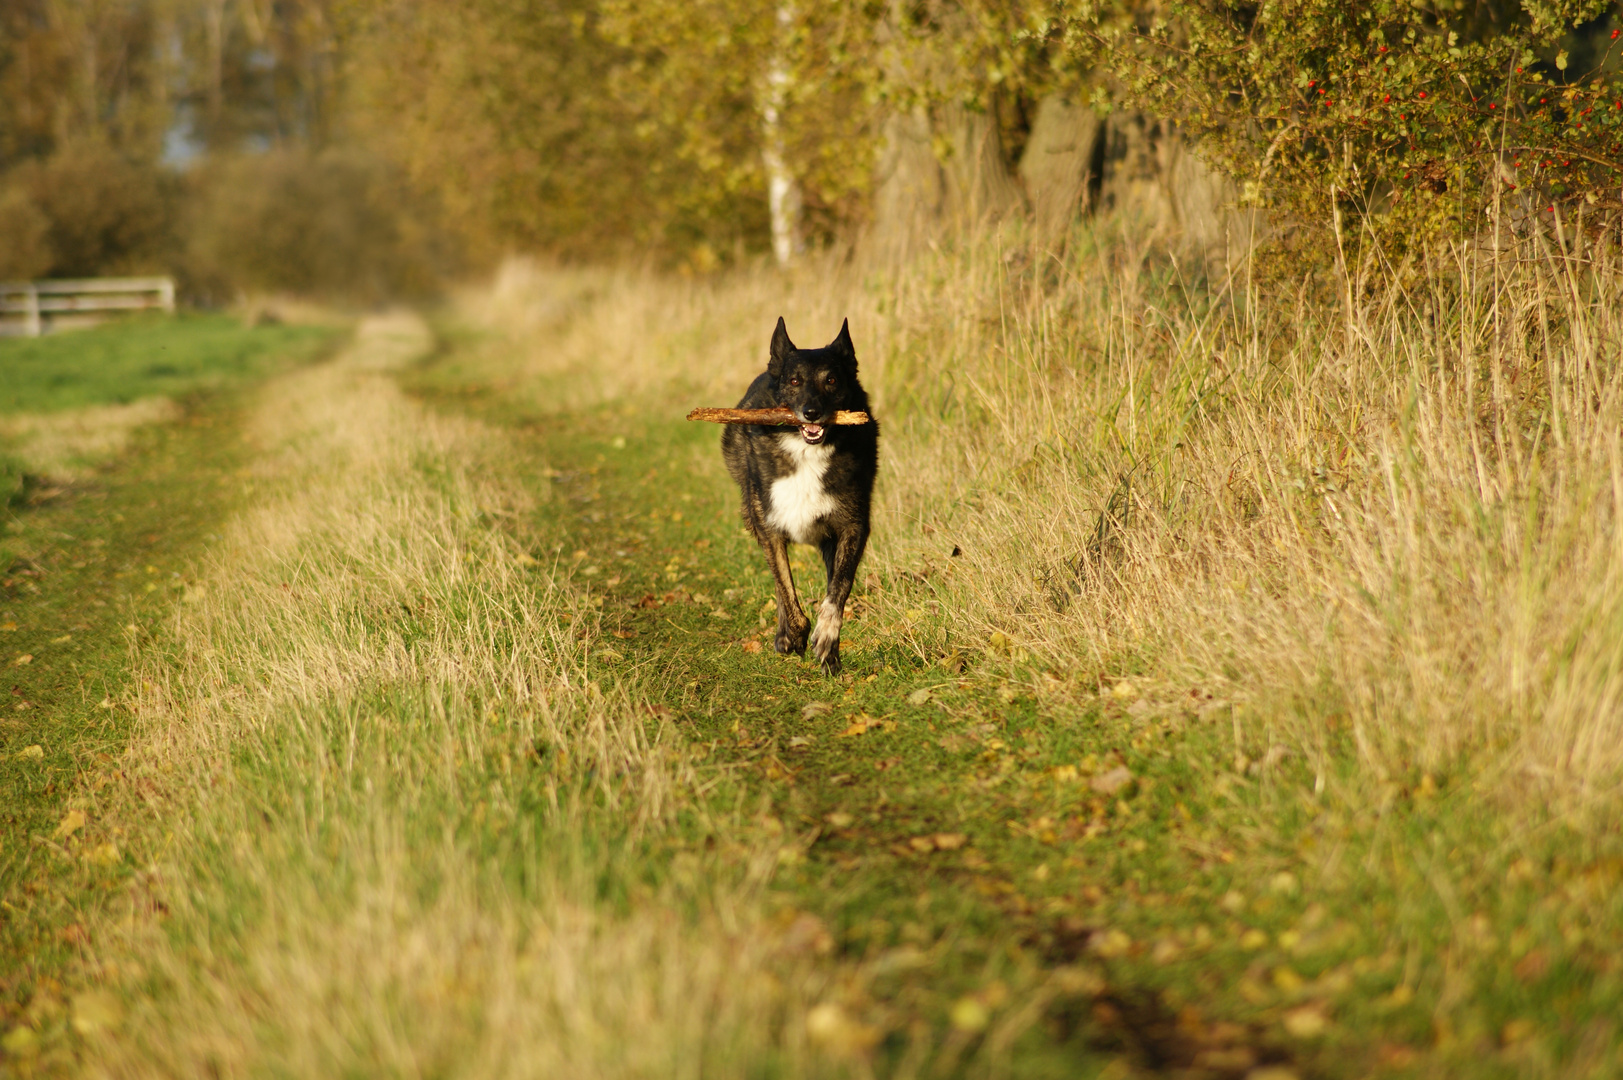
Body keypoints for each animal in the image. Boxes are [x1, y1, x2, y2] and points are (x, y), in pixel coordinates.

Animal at [720, 316, 876, 669]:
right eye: (794, 380)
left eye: (831, 380)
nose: (811, 412)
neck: (806, 452)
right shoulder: (770, 530)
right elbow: (787, 593)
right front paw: (792, 636)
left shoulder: (852, 528)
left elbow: (838, 589)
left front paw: (828, 640)